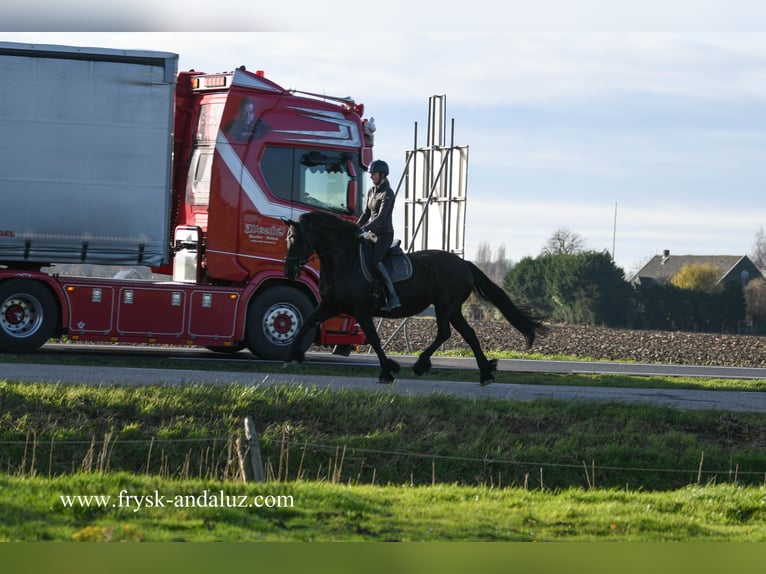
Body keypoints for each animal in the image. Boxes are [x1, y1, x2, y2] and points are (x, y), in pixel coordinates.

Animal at [282, 211, 546, 385]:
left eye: (295, 239)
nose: (289, 272)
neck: (343, 259)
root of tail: (464, 263)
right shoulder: (330, 304)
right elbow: (307, 322)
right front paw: (292, 355)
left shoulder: (360, 310)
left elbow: (374, 339)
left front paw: (387, 371)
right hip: (452, 309)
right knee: (468, 334)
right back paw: (485, 373)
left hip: (445, 305)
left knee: (445, 333)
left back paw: (421, 365)